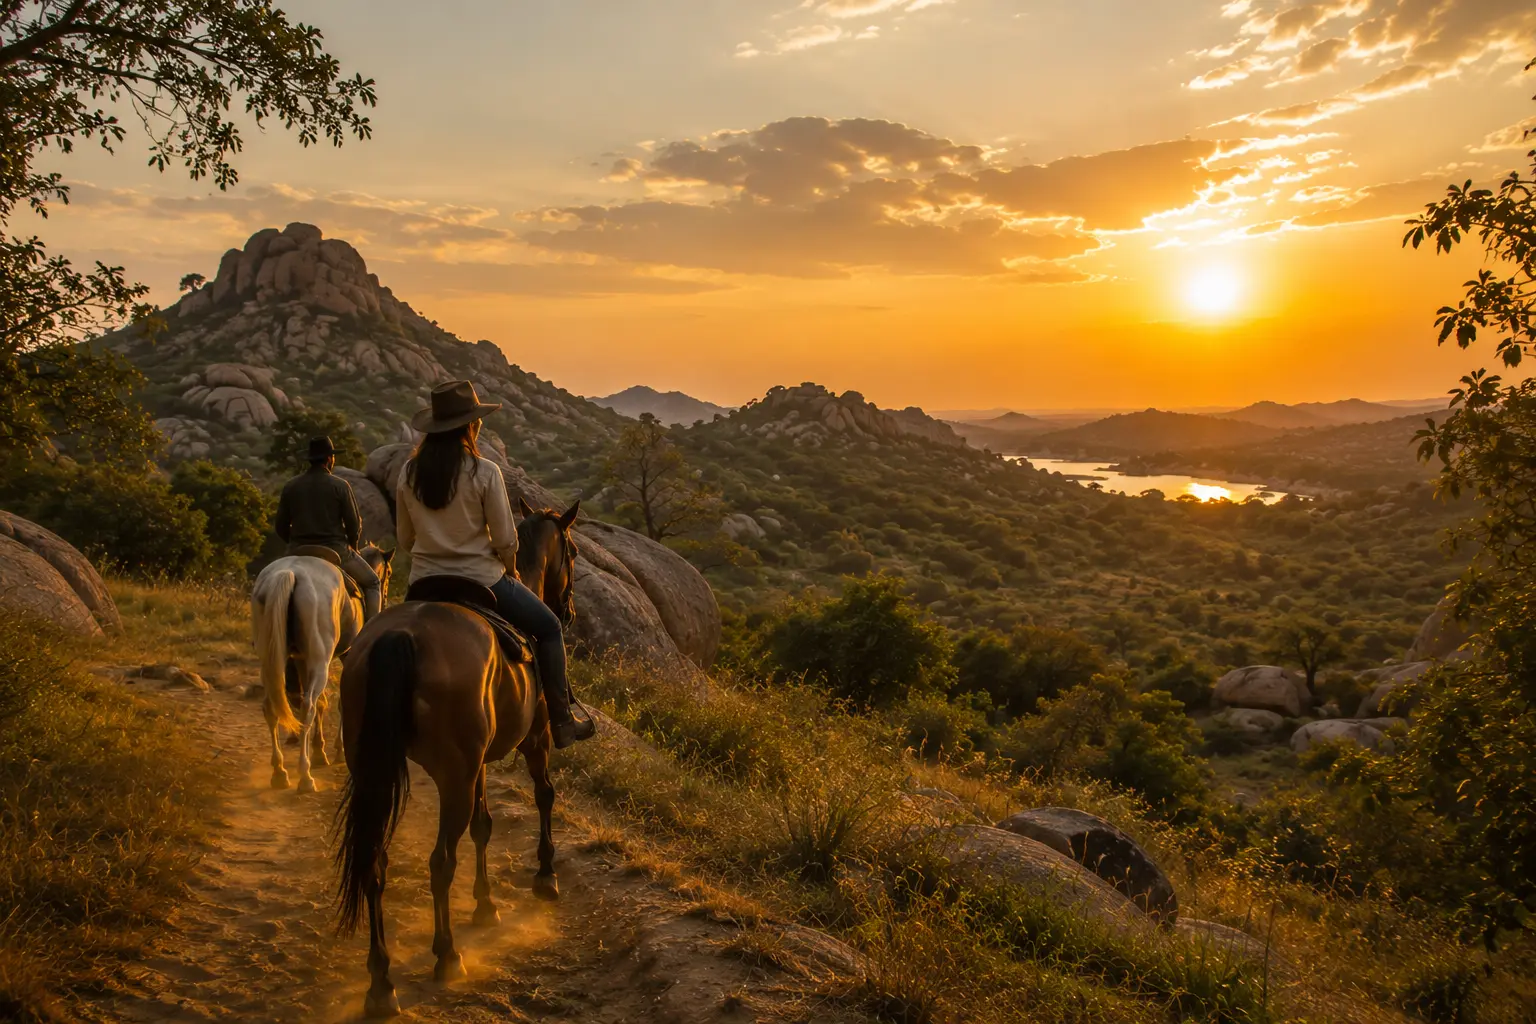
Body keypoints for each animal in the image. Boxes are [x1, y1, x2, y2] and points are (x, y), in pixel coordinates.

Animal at [251, 545, 395, 793]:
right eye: (389, 573)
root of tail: (289, 573)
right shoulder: (347, 656)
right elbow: (338, 702)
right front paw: (338, 751)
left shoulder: (300, 659)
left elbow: (321, 703)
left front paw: (320, 751)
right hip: (320, 661)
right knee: (307, 705)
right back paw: (305, 776)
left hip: (271, 660)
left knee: (272, 706)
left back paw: (280, 772)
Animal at [331, 501, 580, 1019]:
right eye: (572, 553)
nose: (567, 612)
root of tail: (399, 638)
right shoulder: (536, 738)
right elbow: (544, 795)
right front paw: (545, 875)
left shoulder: (476, 765)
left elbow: (484, 826)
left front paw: (485, 905)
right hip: (455, 776)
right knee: (440, 861)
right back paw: (446, 954)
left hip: (382, 769)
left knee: (375, 862)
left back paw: (381, 982)